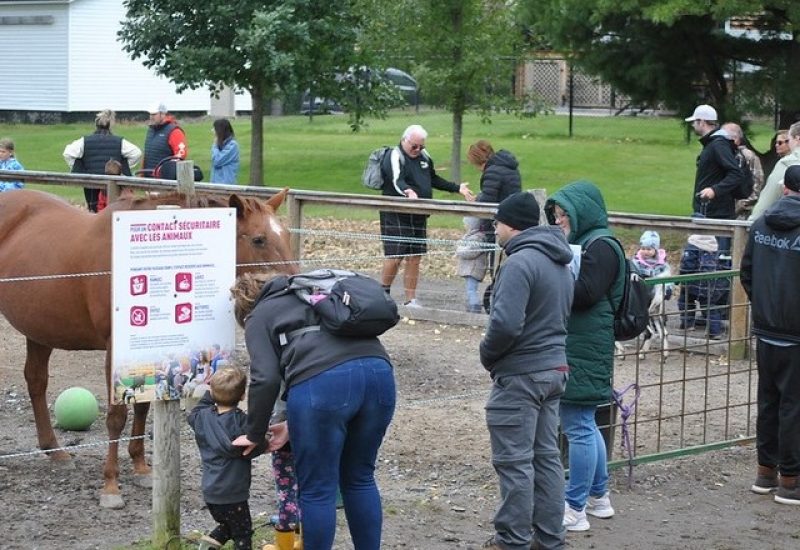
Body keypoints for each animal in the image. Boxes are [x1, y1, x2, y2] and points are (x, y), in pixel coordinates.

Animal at [0, 189, 296, 508]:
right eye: (259, 239)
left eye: (286, 235)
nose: (291, 279)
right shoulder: (115, 350)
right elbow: (117, 416)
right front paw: (111, 485)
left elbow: (142, 407)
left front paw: (141, 467)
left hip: (39, 330)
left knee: (36, 381)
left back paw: (54, 450)